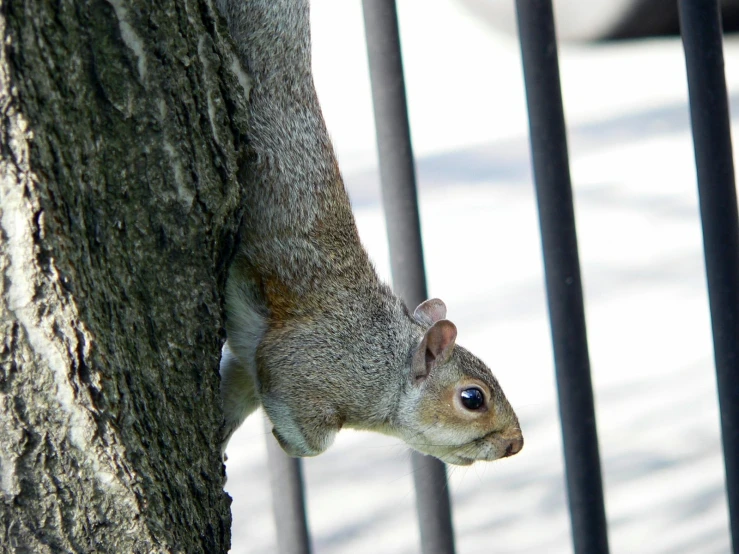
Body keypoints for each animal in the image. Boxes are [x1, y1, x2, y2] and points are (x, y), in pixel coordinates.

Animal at [217, 0, 524, 466]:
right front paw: (288, 441)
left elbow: (232, 394)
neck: (384, 360)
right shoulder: (302, 364)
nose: (516, 443)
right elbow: (313, 438)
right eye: (473, 398)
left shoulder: (247, 372)